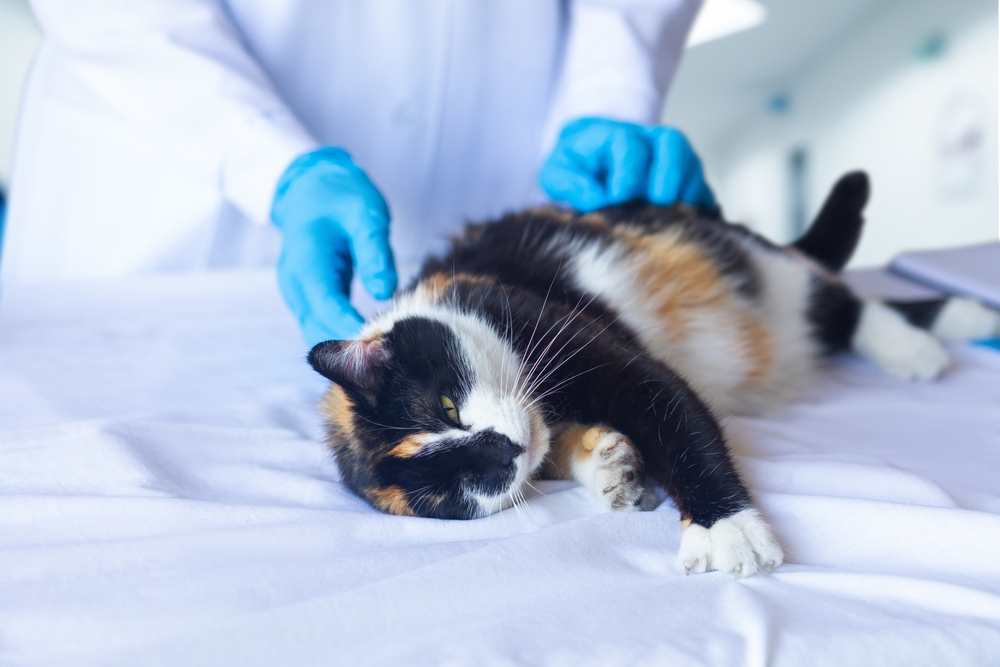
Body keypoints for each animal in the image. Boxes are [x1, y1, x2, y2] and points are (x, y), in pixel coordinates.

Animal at [306, 172, 1000, 580]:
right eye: (456, 488)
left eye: (445, 406)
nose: (500, 451)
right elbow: (559, 448)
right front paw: (609, 465)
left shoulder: (555, 326)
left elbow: (669, 408)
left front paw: (725, 526)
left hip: (758, 267)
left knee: (836, 299)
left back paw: (932, 332)